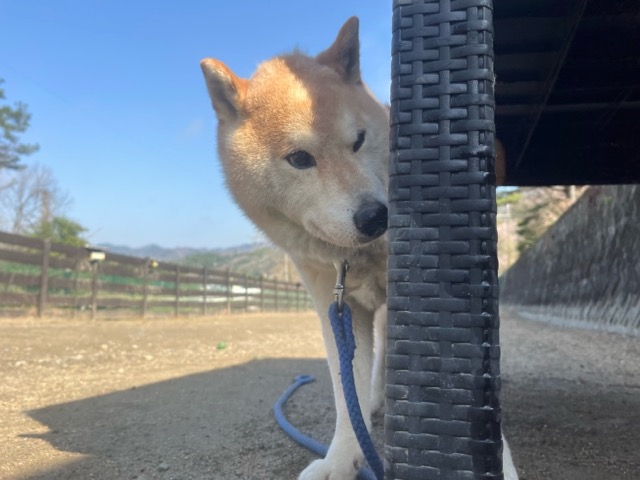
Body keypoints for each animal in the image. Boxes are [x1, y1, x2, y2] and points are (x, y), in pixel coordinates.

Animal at [200, 16, 517, 480]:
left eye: (360, 140)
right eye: (300, 159)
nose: (375, 217)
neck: (357, 260)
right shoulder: (337, 308)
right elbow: (344, 391)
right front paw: (342, 458)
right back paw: (375, 399)